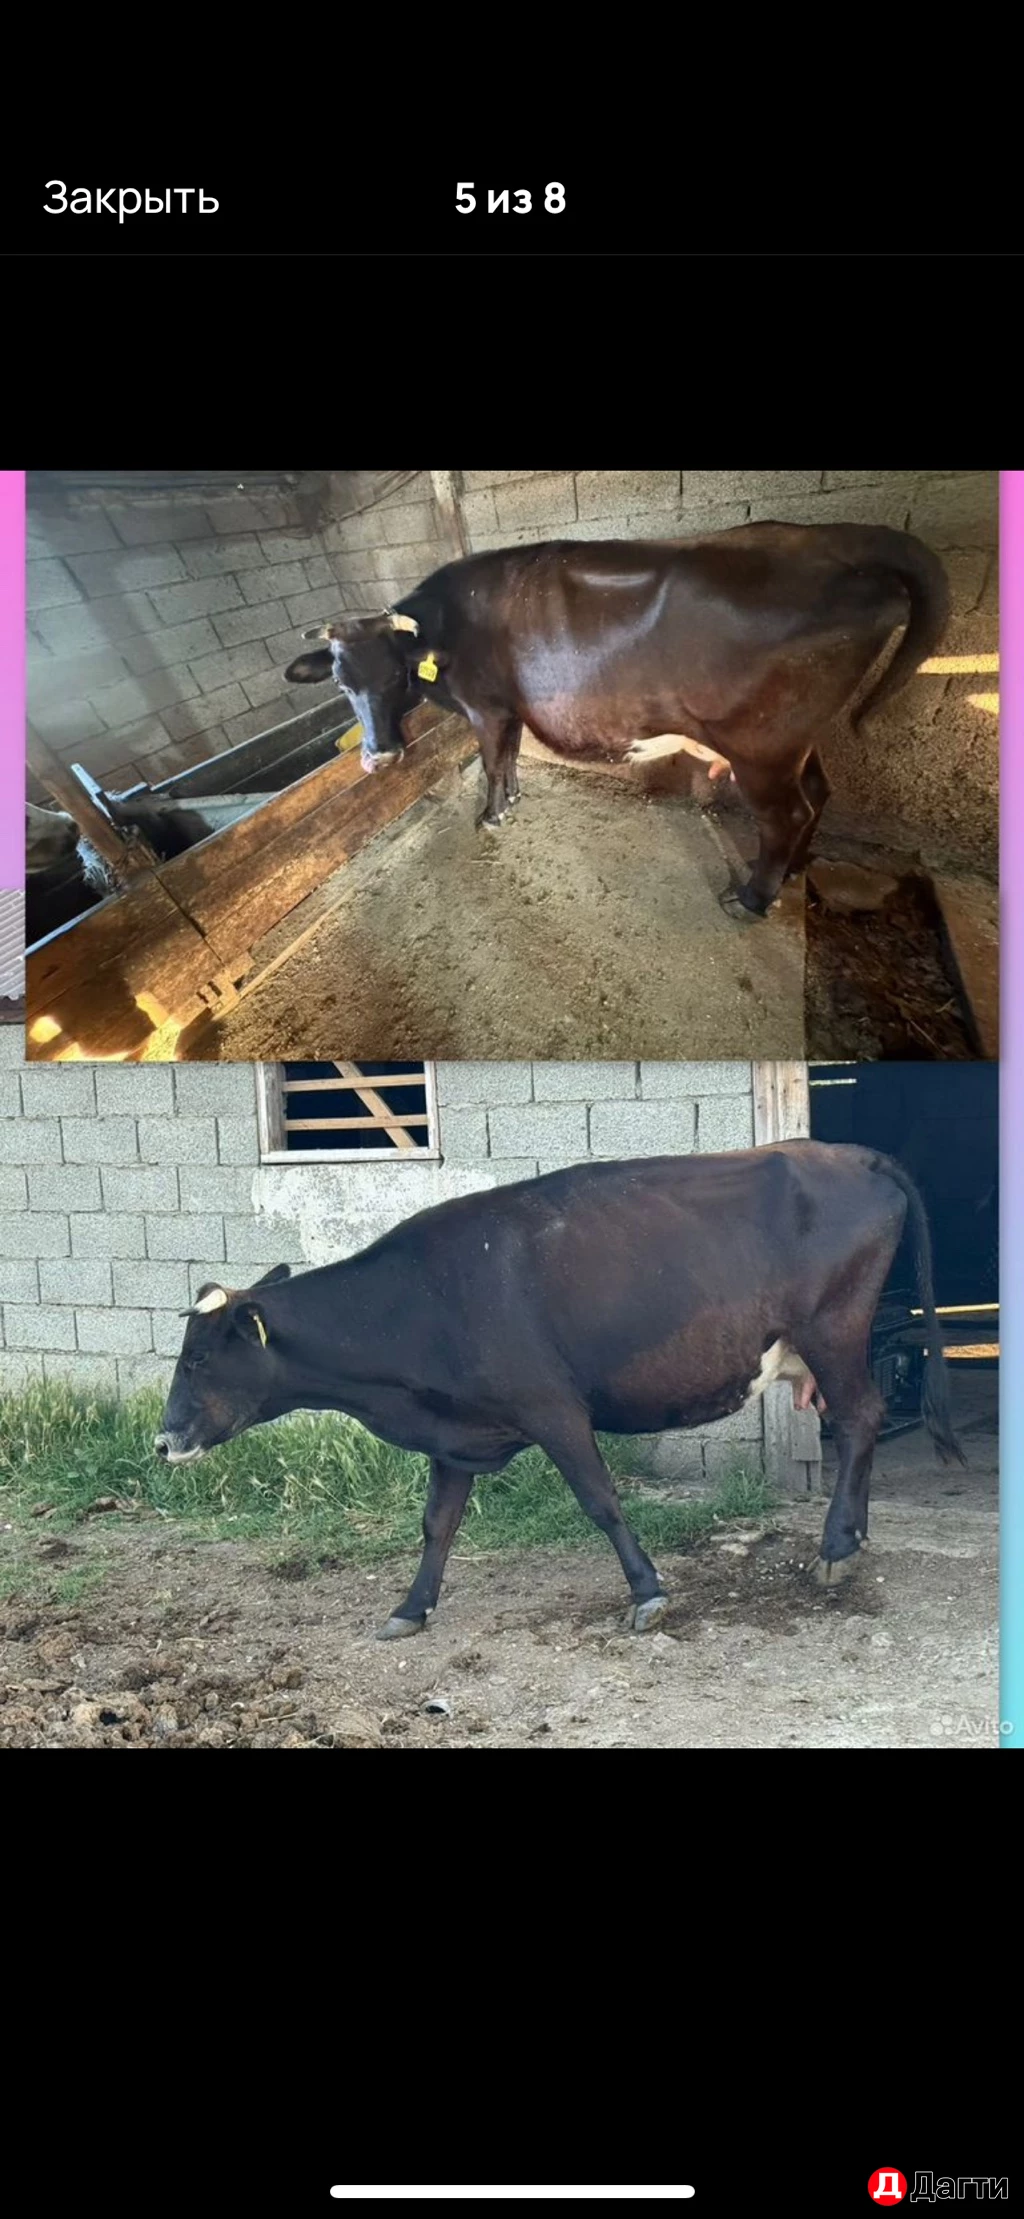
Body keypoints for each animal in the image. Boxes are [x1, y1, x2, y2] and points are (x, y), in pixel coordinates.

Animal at [156, 1143, 963, 1641]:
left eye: (196, 1358)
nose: (164, 1440)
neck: (419, 1300)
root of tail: (846, 1152)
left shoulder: (553, 1409)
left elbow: (600, 1501)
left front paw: (647, 1592)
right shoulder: (458, 1431)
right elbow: (437, 1524)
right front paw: (410, 1608)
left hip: (834, 1330)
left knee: (860, 1419)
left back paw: (835, 1545)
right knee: (861, 1423)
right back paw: (853, 1534)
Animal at [283, 522, 950, 919]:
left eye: (398, 676)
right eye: (341, 682)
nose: (380, 755)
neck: (448, 625)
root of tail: (830, 539)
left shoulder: (487, 707)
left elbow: (493, 762)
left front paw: (492, 815)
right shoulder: (512, 709)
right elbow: (514, 755)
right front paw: (515, 800)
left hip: (762, 746)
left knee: (787, 814)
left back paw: (752, 898)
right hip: (797, 742)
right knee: (819, 793)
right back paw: (793, 872)